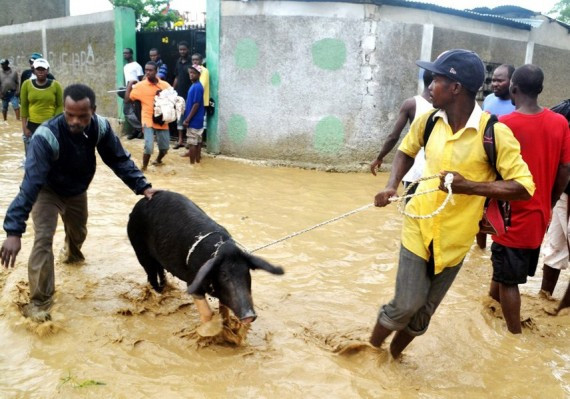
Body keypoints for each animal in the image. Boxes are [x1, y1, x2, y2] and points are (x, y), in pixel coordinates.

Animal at [126, 191, 282, 324]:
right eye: (224, 274)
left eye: (247, 272)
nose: (249, 316)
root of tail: (141, 201)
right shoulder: (193, 281)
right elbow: (207, 312)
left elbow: (224, 312)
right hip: (139, 249)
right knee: (150, 275)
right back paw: (158, 295)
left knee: (160, 270)